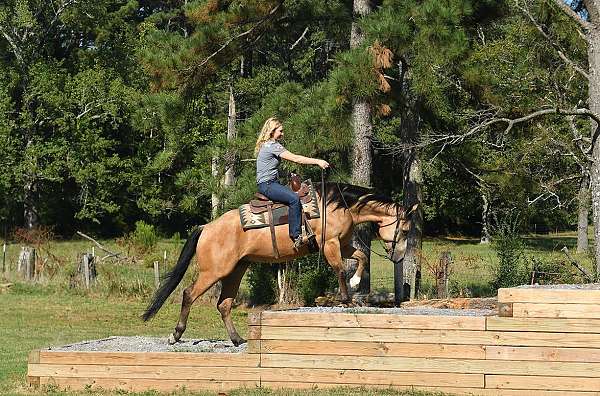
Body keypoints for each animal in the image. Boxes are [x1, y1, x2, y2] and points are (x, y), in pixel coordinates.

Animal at [144, 183, 420, 346]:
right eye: (406, 230)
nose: (398, 258)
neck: (338, 206)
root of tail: (206, 227)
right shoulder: (330, 245)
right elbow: (341, 269)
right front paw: (346, 298)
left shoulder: (341, 245)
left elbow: (360, 257)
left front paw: (354, 284)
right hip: (214, 271)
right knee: (189, 294)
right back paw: (176, 334)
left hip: (236, 270)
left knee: (224, 304)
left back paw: (237, 339)